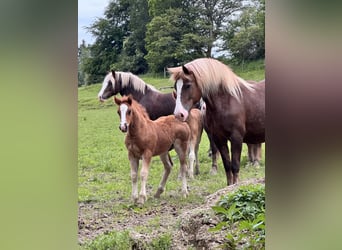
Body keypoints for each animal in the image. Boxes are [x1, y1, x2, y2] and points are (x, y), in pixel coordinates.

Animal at [168, 57, 264, 185]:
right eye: (175, 86)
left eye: (187, 85)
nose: (179, 114)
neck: (228, 100)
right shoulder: (219, 138)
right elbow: (227, 165)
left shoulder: (236, 138)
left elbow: (235, 166)